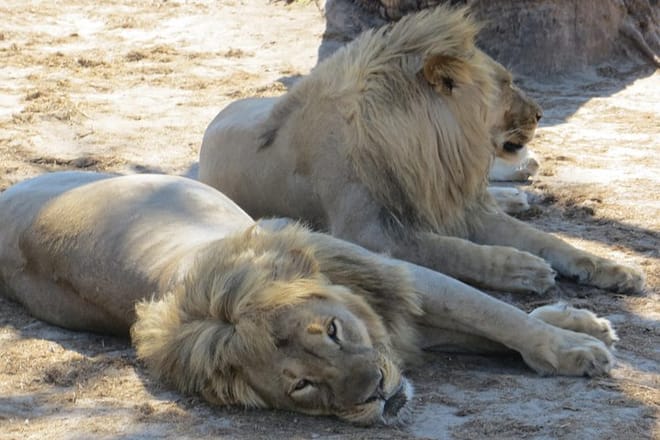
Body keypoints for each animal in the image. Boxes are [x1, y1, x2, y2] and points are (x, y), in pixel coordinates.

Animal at [0, 172, 618, 425]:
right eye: (302, 385)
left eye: (333, 331)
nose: (377, 393)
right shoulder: (403, 328)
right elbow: (496, 332)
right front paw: (578, 336)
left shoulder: (404, 279)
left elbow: (504, 322)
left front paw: (578, 346)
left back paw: (522, 200)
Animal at [199, 5, 644, 294]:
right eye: (505, 83)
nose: (539, 113)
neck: (436, 156)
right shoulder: (368, 233)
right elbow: (450, 249)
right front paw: (523, 269)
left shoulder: (462, 206)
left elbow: (549, 240)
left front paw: (615, 270)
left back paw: (518, 191)